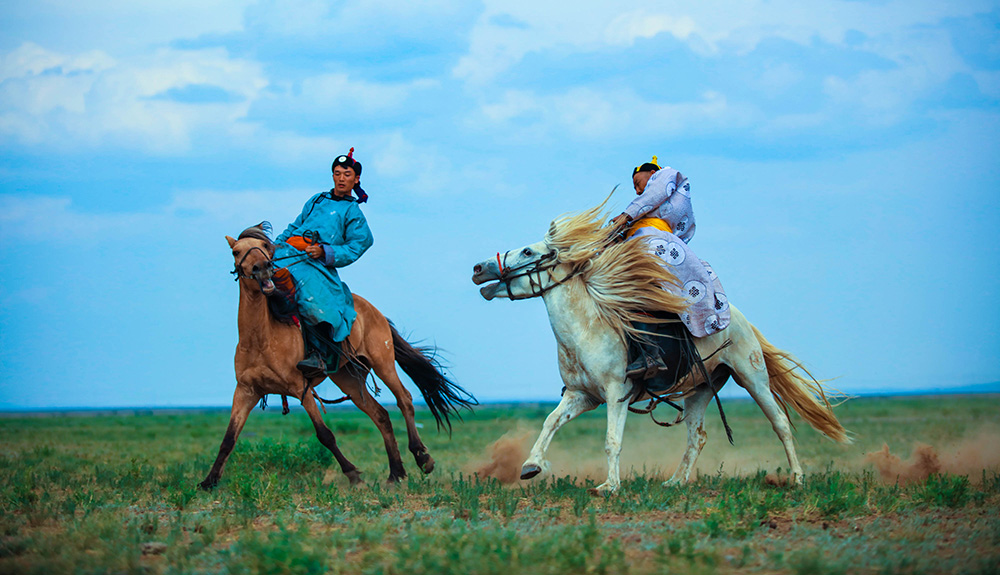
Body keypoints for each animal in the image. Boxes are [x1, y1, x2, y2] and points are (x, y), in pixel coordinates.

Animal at [200, 225, 476, 490]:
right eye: (236, 251)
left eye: (266, 247)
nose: (263, 268)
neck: (261, 339)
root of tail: (373, 310)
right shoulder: (246, 391)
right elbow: (228, 439)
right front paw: (209, 482)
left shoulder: (300, 388)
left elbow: (325, 435)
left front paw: (354, 476)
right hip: (349, 380)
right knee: (381, 416)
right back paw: (395, 474)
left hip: (383, 363)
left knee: (405, 400)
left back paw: (422, 458)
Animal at [472, 201, 848, 496]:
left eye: (527, 251)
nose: (478, 268)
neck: (587, 330)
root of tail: (740, 319)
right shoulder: (582, 395)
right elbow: (550, 422)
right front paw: (531, 466)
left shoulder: (617, 393)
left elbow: (612, 440)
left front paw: (609, 486)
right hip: (700, 389)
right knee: (697, 436)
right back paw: (675, 482)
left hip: (752, 376)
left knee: (780, 423)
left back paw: (797, 479)